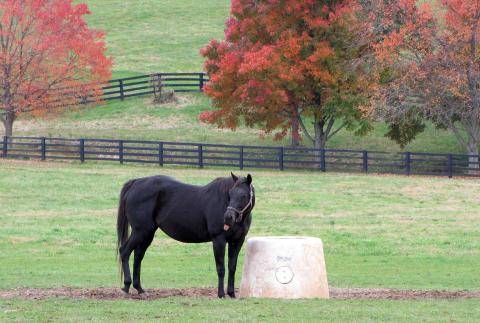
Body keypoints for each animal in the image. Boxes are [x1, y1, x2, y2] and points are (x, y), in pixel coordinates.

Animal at [116, 172, 255, 298]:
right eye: (230, 194)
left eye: (243, 195)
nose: (228, 218)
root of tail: (136, 183)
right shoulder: (219, 240)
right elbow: (221, 268)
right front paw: (221, 294)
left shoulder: (237, 241)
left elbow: (232, 267)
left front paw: (231, 294)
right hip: (140, 231)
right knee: (125, 252)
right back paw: (127, 286)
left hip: (147, 234)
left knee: (138, 256)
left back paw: (139, 289)